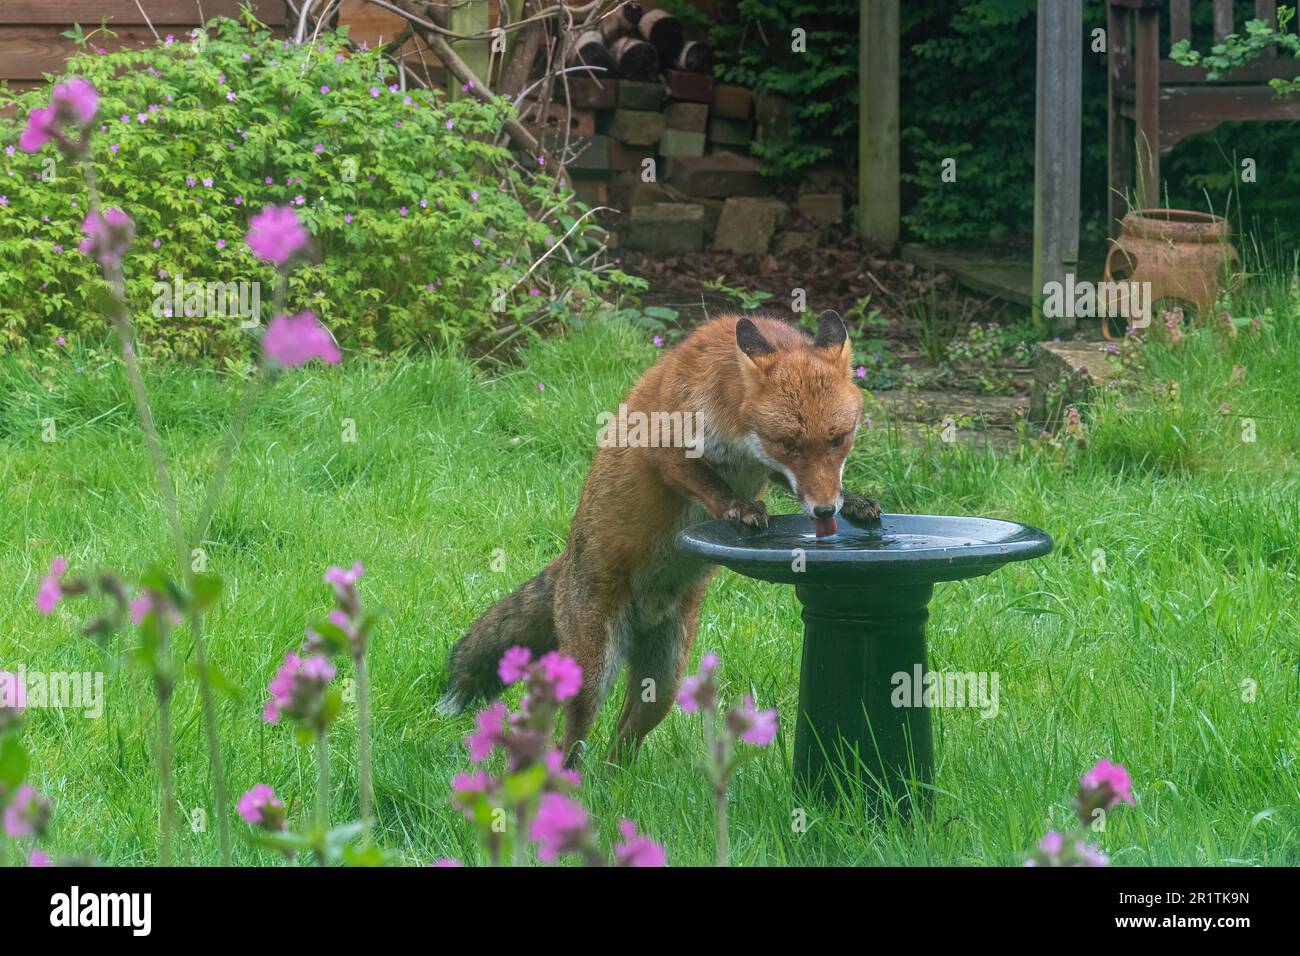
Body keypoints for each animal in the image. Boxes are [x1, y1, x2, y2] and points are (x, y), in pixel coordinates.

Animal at [437, 311, 881, 763]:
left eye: (838, 439)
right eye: (789, 444)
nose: (824, 513)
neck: (735, 427)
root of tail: (564, 563)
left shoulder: (766, 467)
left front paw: (852, 502)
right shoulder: (660, 441)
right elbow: (710, 484)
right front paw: (740, 508)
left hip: (665, 682)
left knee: (622, 741)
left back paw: (617, 779)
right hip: (592, 674)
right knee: (569, 741)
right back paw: (569, 777)